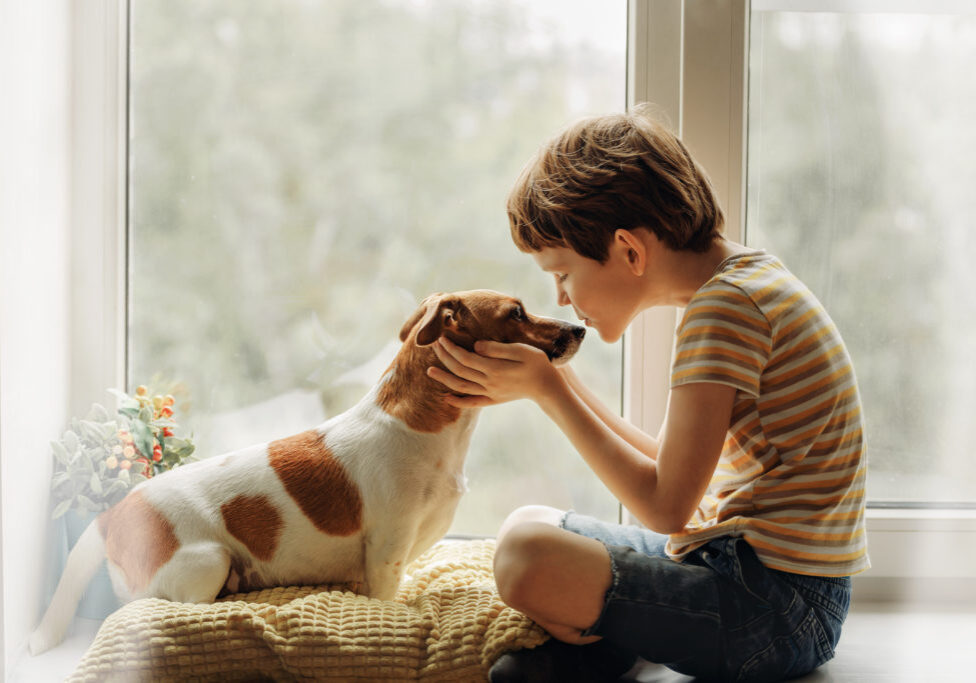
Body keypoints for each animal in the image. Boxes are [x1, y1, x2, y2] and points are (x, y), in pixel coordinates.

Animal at [30, 288, 584, 652]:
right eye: (517, 313)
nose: (580, 327)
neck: (428, 430)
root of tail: (113, 515)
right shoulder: (386, 551)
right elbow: (388, 596)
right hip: (208, 560)